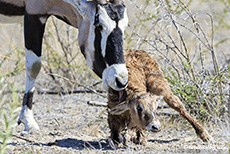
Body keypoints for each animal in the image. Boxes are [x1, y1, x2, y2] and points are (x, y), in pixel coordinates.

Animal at [0, 0, 129, 134]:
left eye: (125, 26)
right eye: (99, 25)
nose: (121, 81)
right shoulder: (34, 13)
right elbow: (34, 66)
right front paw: (29, 122)